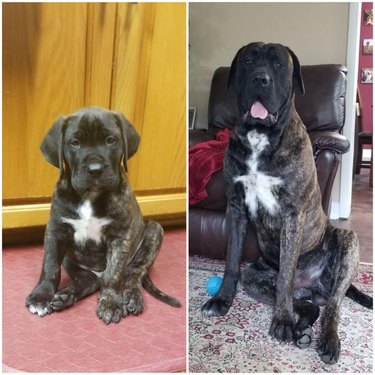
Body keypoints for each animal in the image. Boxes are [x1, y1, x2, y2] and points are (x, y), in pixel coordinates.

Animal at [25, 107, 181, 324]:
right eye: (75, 142)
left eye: (110, 140)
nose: (95, 170)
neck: (89, 196)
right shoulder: (56, 230)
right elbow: (50, 266)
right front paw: (40, 296)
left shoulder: (119, 236)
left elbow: (114, 273)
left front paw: (111, 303)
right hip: (71, 259)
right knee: (89, 280)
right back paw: (66, 295)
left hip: (153, 231)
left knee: (133, 274)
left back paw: (132, 297)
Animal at [203, 43, 374, 364]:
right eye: (247, 61)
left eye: (279, 65)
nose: (260, 79)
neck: (260, 136)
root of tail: (312, 286)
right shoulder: (236, 208)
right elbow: (231, 262)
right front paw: (222, 300)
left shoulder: (292, 215)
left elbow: (285, 276)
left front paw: (281, 321)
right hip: (255, 277)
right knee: (309, 306)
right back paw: (302, 329)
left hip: (347, 244)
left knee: (333, 305)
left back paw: (326, 340)